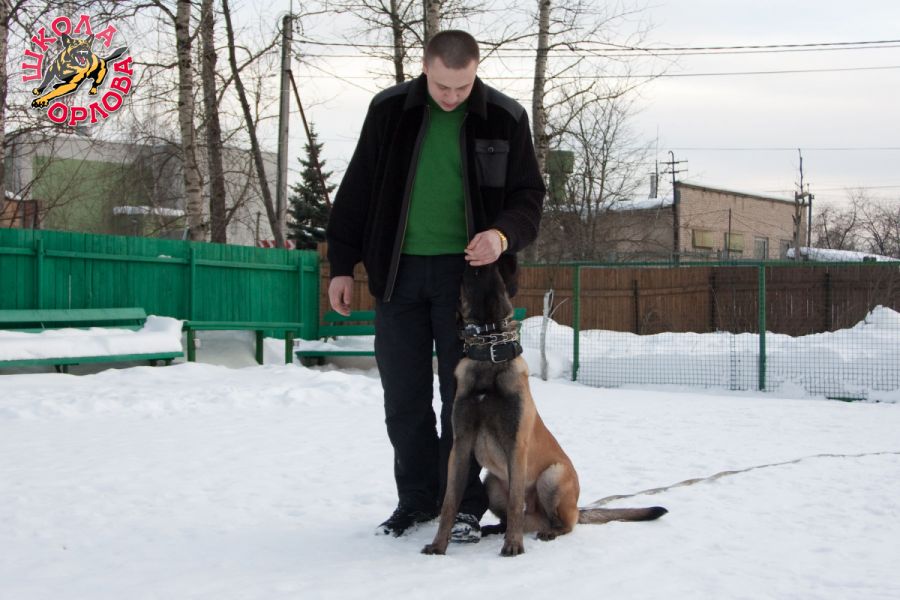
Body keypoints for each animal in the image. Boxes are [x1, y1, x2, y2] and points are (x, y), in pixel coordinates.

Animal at [423, 262, 667, 556]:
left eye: (493, 273)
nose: (480, 260)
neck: (489, 351)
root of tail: (576, 508)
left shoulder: (516, 446)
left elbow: (515, 502)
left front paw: (513, 545)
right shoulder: (460, 446)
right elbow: (450, 502)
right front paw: (438, 545)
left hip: (551, 477)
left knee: (561, 523)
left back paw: (547, 531)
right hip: (492, 482)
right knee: (516, 516)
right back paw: (498, 529)